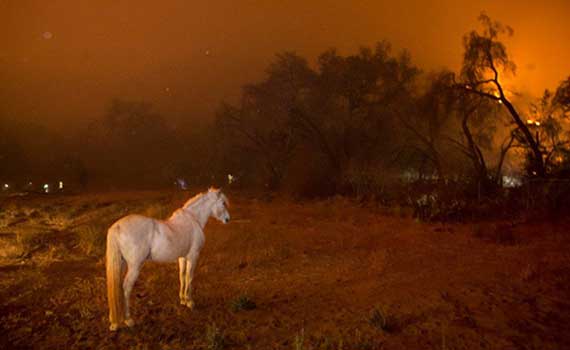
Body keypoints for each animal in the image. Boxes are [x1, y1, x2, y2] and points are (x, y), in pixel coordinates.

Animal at [105, 189, 230, 330]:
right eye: (223, 203)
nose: (227, 219)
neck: (193, 220)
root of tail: (117, 227)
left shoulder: (182, 257)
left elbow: (182, 276)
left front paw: (182, 299)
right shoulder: (193, 256)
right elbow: (190, 278)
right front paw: (190, 302)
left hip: (122, 264)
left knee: (118, 287)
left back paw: (115, 321)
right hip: (134, 267)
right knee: (126, 288)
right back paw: (128, 319)